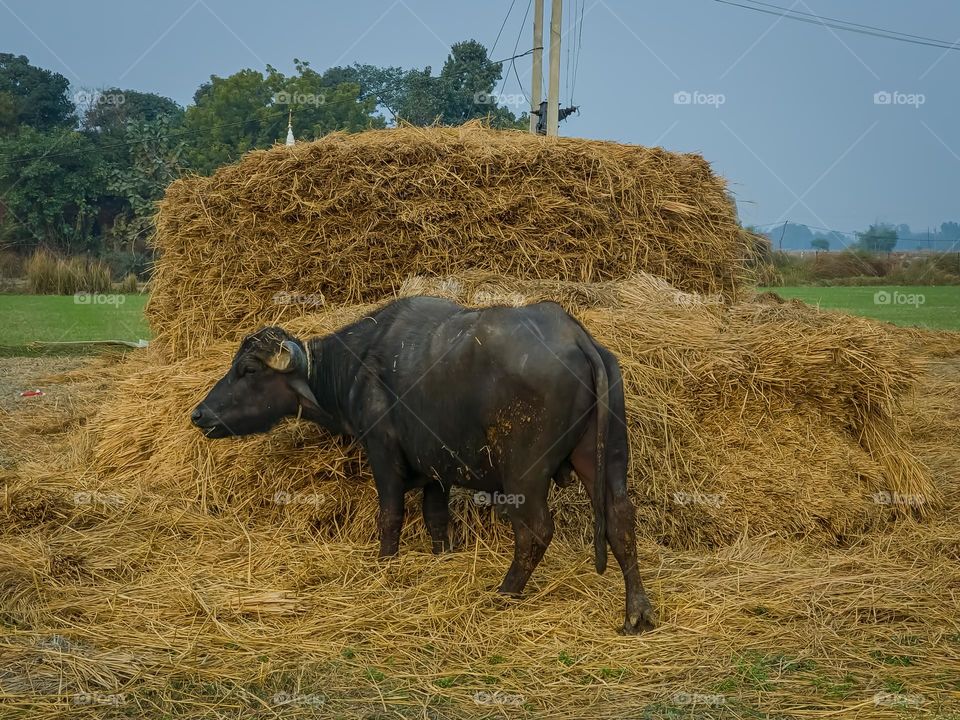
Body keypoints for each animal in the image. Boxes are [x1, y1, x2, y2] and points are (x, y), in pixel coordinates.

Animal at [195, 296, 660, 632]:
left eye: (247, 369)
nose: (199, 414)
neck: (358, 364)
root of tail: (576, 337)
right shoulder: (437, 468)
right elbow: (436, 517)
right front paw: (441, 557)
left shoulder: (383, 452)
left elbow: (391, 515)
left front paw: (385, 565)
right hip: (607, 456)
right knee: (621, 519)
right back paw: (636, 613)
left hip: (524, 473)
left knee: (535, 530)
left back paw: (504, 591)